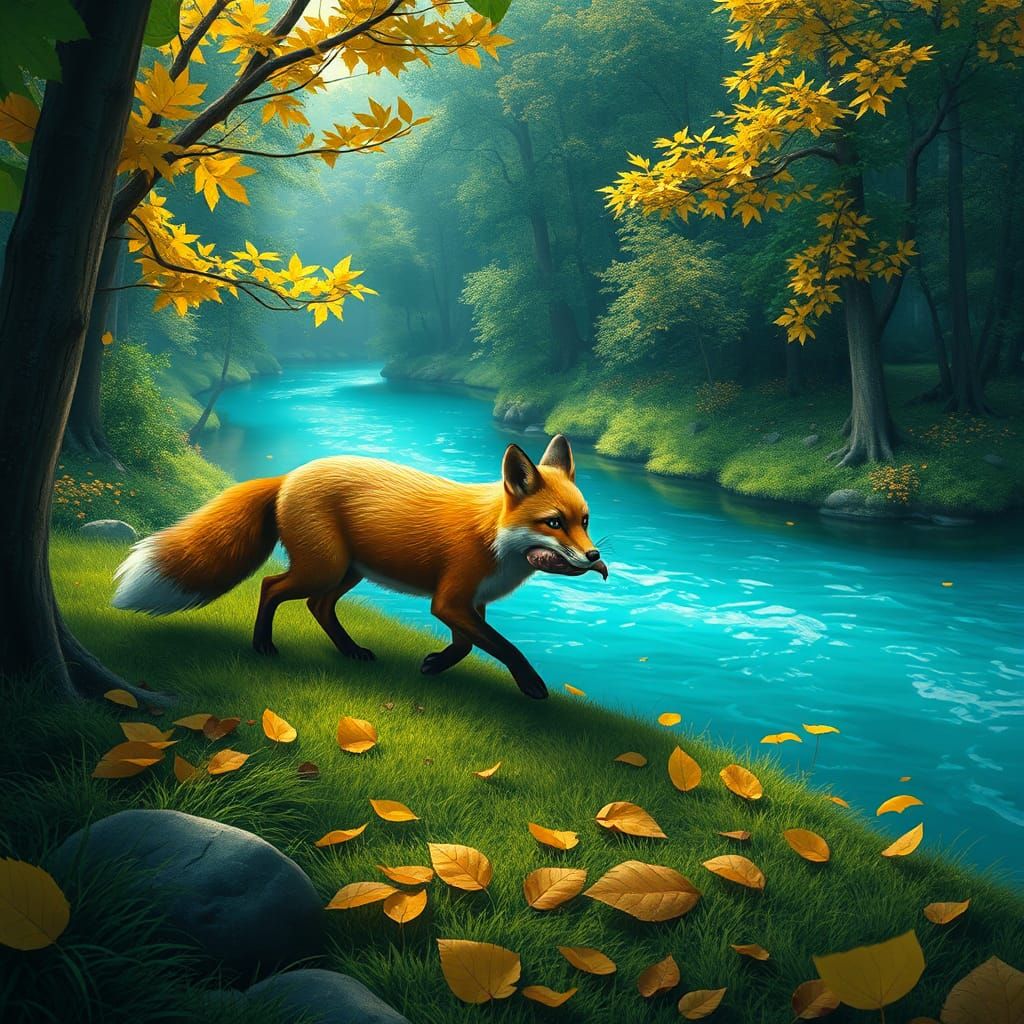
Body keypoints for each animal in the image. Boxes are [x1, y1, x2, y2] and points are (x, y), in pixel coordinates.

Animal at [111, 434, 606, 699]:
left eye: (584, 521)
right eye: (554, 523)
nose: (595, 559)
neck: (493, 534)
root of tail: (289, 475)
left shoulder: (471, 603)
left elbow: (467, 645)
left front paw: (434, 665)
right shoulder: (448, 601)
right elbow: (505, 647)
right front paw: (533, 685)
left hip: (348, 572)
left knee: (318, 606)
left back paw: (350, 651)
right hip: (325, 567)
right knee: (272, 586)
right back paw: (263, 646)